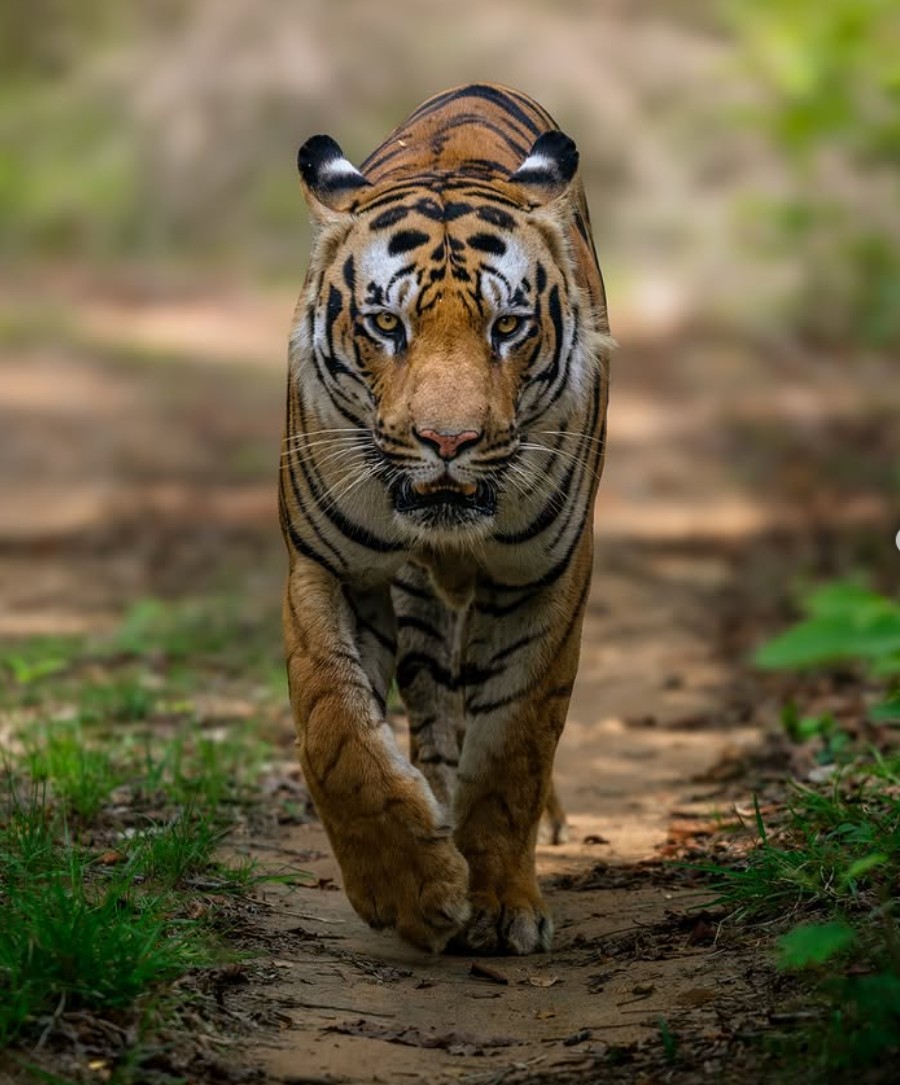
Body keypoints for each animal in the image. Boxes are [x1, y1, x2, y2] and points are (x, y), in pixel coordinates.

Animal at [280, 82, 612, 955]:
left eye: (508, 327)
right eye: (386, 325)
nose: (449, 441)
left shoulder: (543, 578)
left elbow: (514, 747)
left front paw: (499, 903)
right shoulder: (328, 565)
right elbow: (336, 729)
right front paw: (413, 889)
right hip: (416, 602)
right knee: (432, 710)